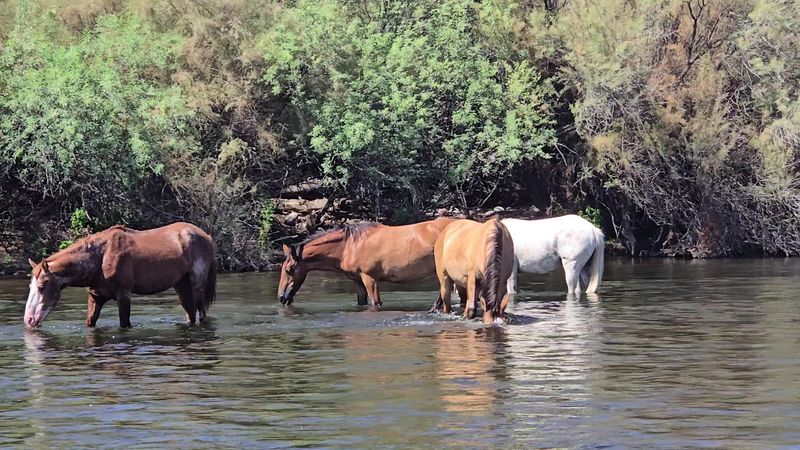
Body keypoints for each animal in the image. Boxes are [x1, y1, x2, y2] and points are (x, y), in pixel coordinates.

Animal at [24, 222, 216, 329]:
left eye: (42, 286)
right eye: (30, 286)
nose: (29, 319)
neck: (99, 258)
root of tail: (207, 236)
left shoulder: (123, 295)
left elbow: (125, 324)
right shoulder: (96, 296)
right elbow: (90, 322)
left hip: (197, 284)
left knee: (201, 313)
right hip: (181, 284)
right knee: (190, 314)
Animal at [278, 218, 467, 307]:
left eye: (290, 269)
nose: (281, 297)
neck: (348, 246)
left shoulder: (370, 278)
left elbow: (376, 303)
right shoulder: (358, 281)